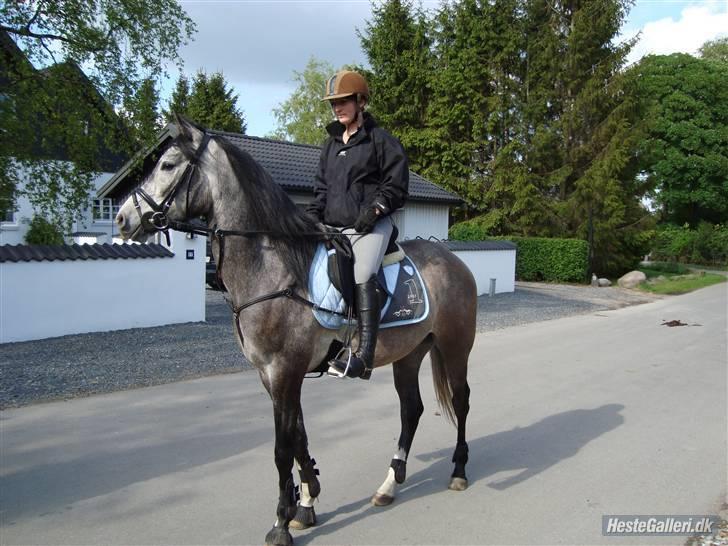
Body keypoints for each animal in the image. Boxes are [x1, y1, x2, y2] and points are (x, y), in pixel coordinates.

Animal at [115, 116, 478, 544]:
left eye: (168, 165)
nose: (122, 218)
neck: (273, 268)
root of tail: (453, 259)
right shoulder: (272, 375)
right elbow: (299, 437)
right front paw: (306, 503)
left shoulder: (285, 370)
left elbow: (281, 448)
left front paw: (280, 523)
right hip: (409, 353)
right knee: (411, 410)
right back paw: (389, 485)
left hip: (455, 347)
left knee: (461, 402)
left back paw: (458, 471)